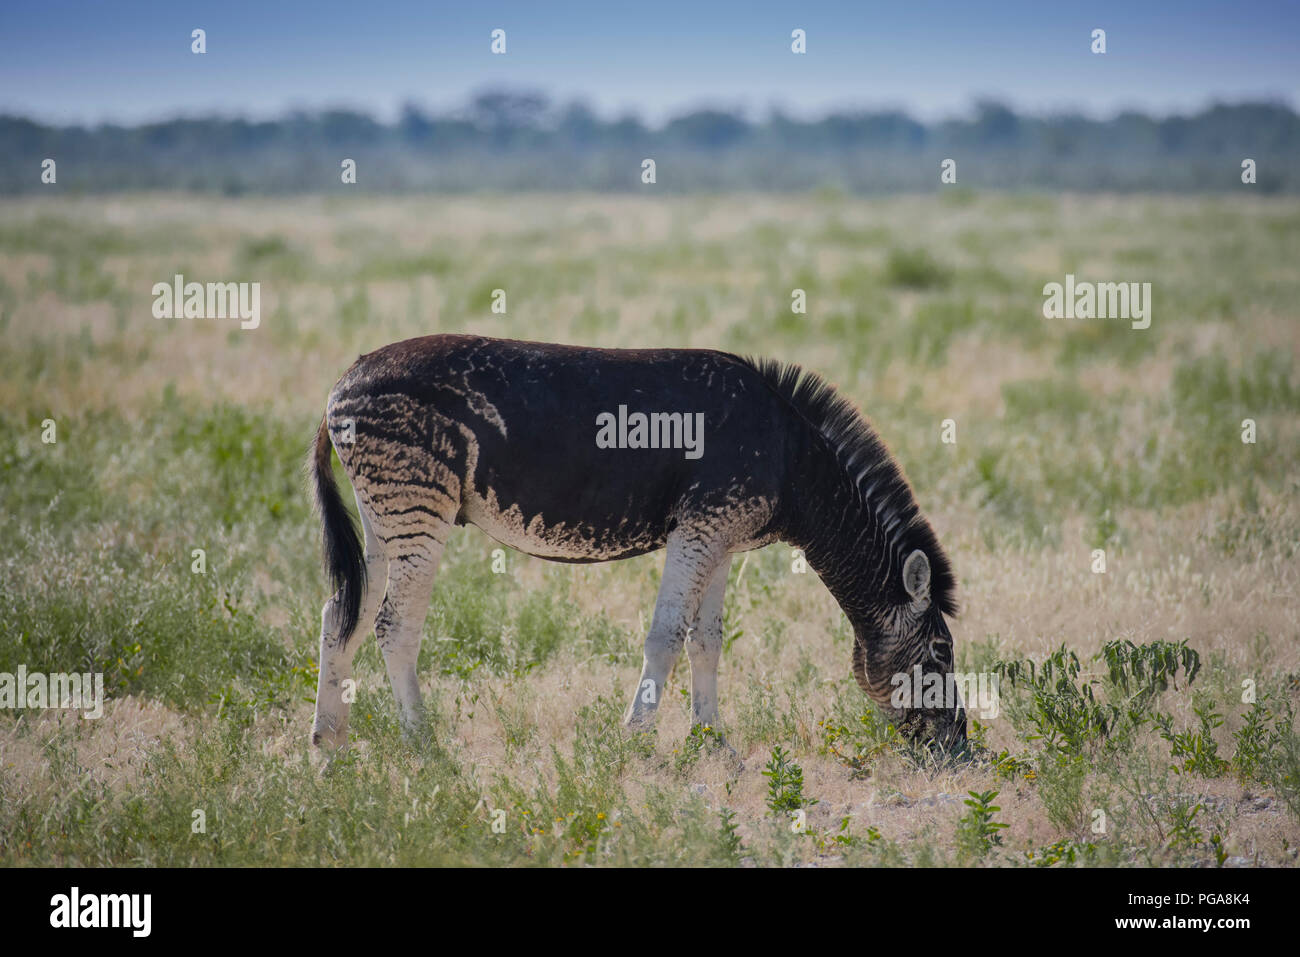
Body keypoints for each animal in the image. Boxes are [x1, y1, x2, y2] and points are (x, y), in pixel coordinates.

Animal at [306, 335, 967, 754]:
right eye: (940, 652)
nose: (962, 752)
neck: (792, 460)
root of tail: (342, 379)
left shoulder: (721, 538)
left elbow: (706, 642)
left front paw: (714, 744)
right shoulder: (701, 527)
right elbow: (666, 635)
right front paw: (638, 742)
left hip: (383, 515)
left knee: (342, 614)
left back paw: (328, 747)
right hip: (418, 505)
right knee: (394, 624)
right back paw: (424, 746)